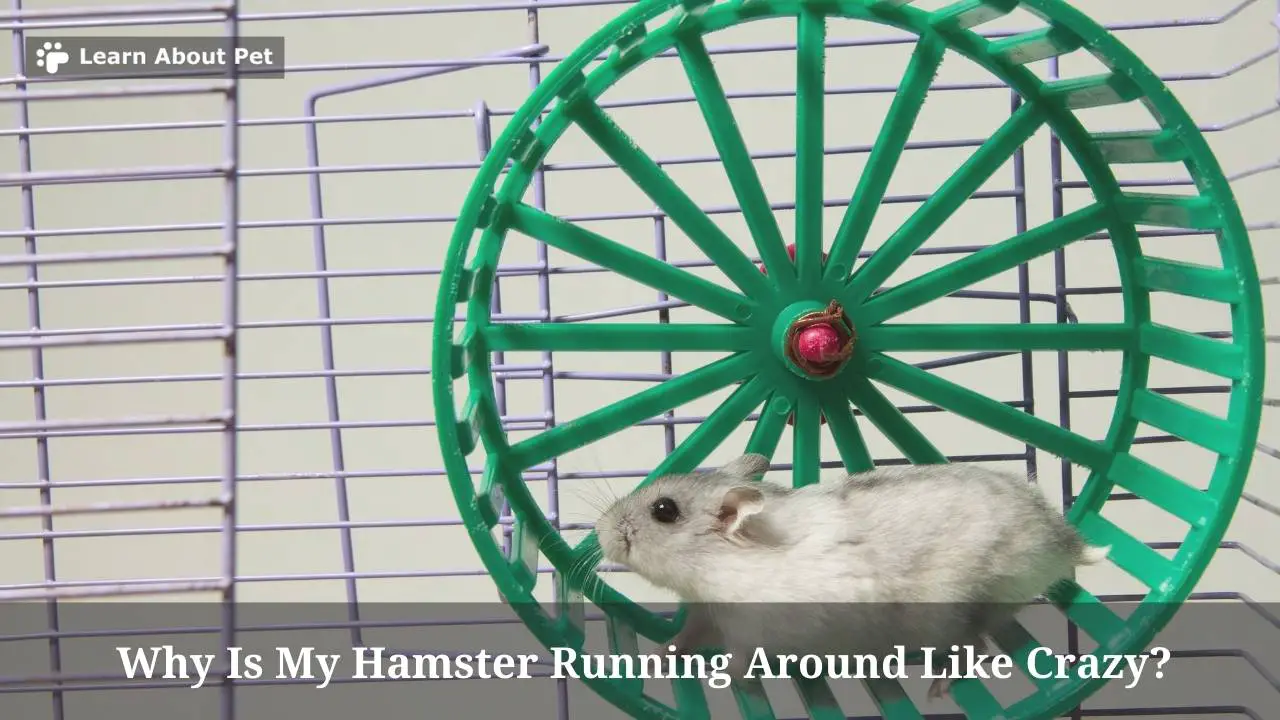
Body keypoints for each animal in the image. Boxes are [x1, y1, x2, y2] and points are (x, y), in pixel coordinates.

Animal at [595, 453, 1110, 698]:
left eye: (664, 511)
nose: (599, 531)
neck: (717, 566)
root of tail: (1063, 540)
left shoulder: (753, 631)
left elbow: (739, 662)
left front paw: (728, 680)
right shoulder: (706, 613)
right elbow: (683, 639)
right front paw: (655, 660)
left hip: (948, 612)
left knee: (976, 649)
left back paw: (937, 691)